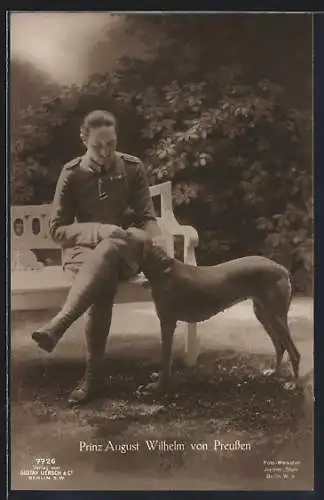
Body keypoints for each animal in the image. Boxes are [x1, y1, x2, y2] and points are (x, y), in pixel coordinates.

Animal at [140, 237, 302, 390]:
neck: (164, 270)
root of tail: (282, 269)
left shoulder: (167, 322)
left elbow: (165, 358)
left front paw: (160, 385)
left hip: (275, 316)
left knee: (294, 353)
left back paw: (293, 383)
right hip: (263, 314)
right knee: (280, 347)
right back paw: (274, 372)